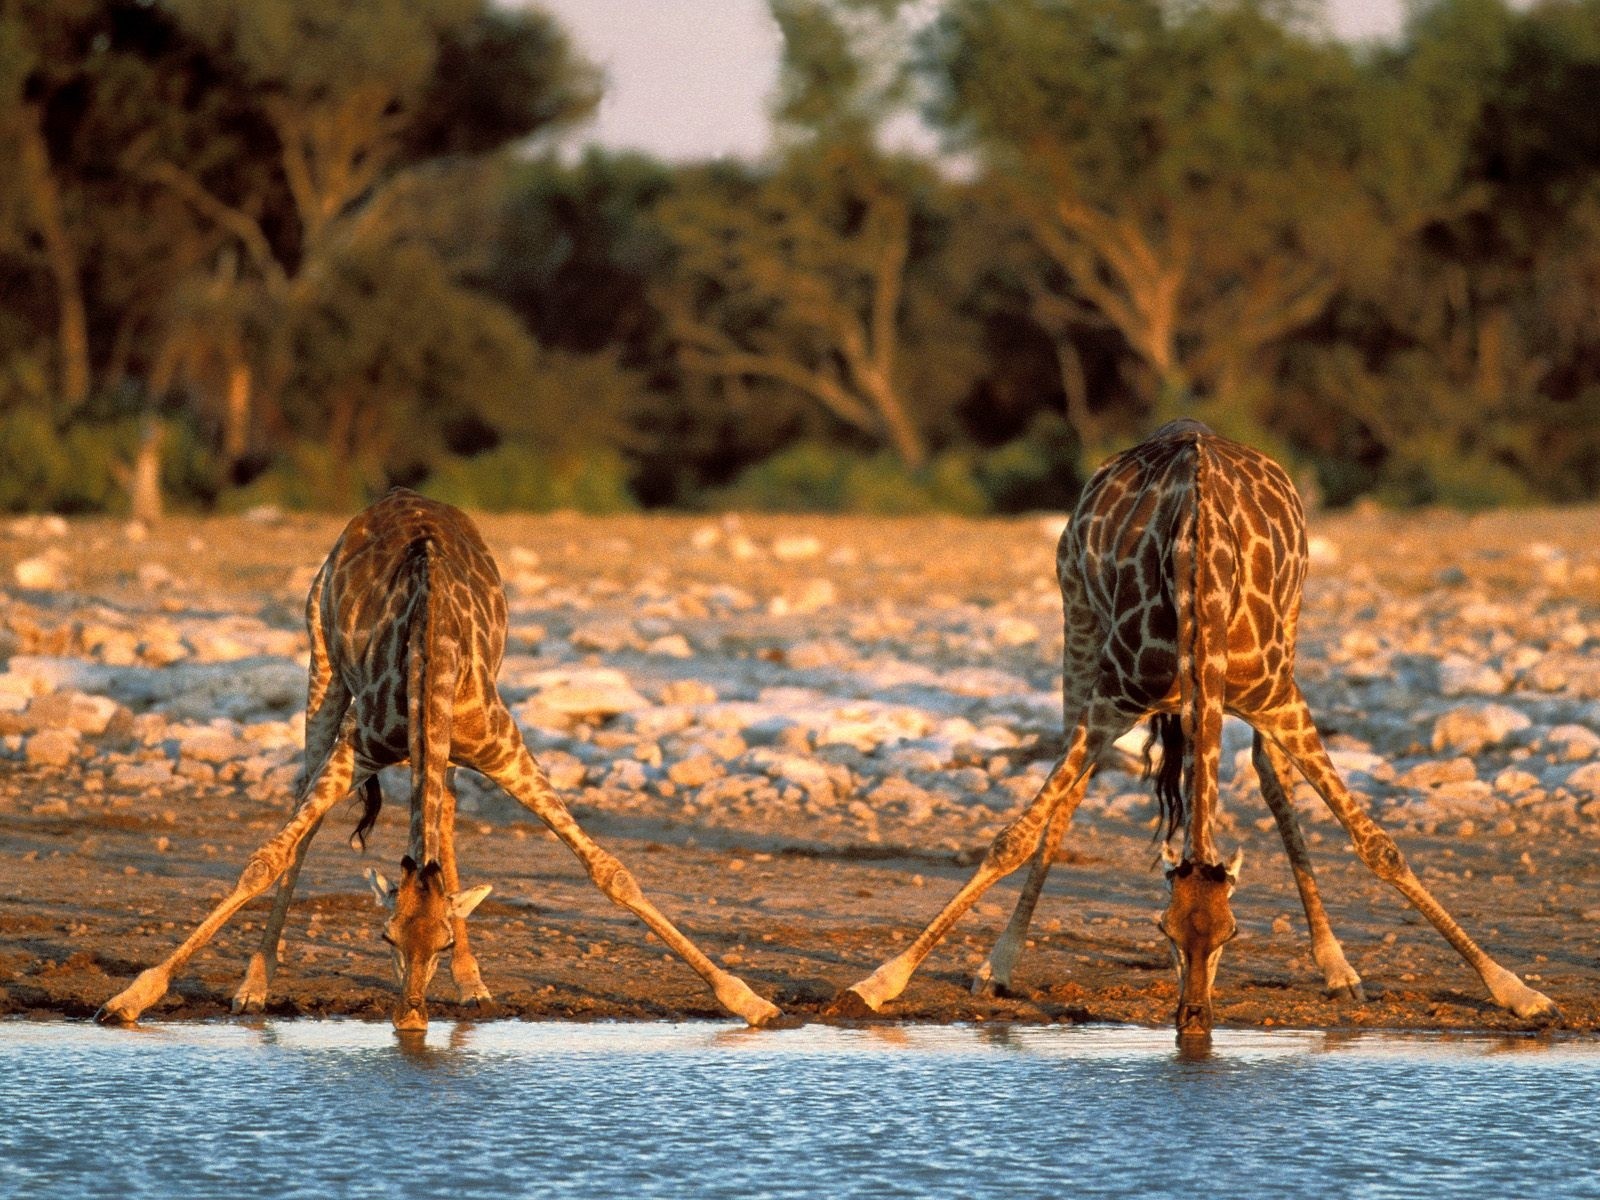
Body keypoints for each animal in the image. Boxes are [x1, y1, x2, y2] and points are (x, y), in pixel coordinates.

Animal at [96, 489, 784, 1036]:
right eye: (385, 937)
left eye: (443, 939)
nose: (410, 1020)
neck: (432, 654)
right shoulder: (360, 746)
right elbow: (266, 859)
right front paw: (130, 998)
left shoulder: (504, 748)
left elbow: (611, 872)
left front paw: (750, 1001)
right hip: (322, 663)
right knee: (306, 807)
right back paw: (254, 986)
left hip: (440, 743)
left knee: (444, 815)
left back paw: (474, 984)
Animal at [832, 419, 1555, 1036]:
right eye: (1163, 931)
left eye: (1233, 933)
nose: (1194, 1020)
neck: (1200, 580)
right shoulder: (1110, 700)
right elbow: (1014, 835)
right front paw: (881, 980)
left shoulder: (1279, 698)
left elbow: (1379, 846)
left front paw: (1517, 990)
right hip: (1077, 622)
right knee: (1070, 792)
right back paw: (999, 964)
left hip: (1291, 630)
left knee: (1270, 775)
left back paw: (1337, 968)